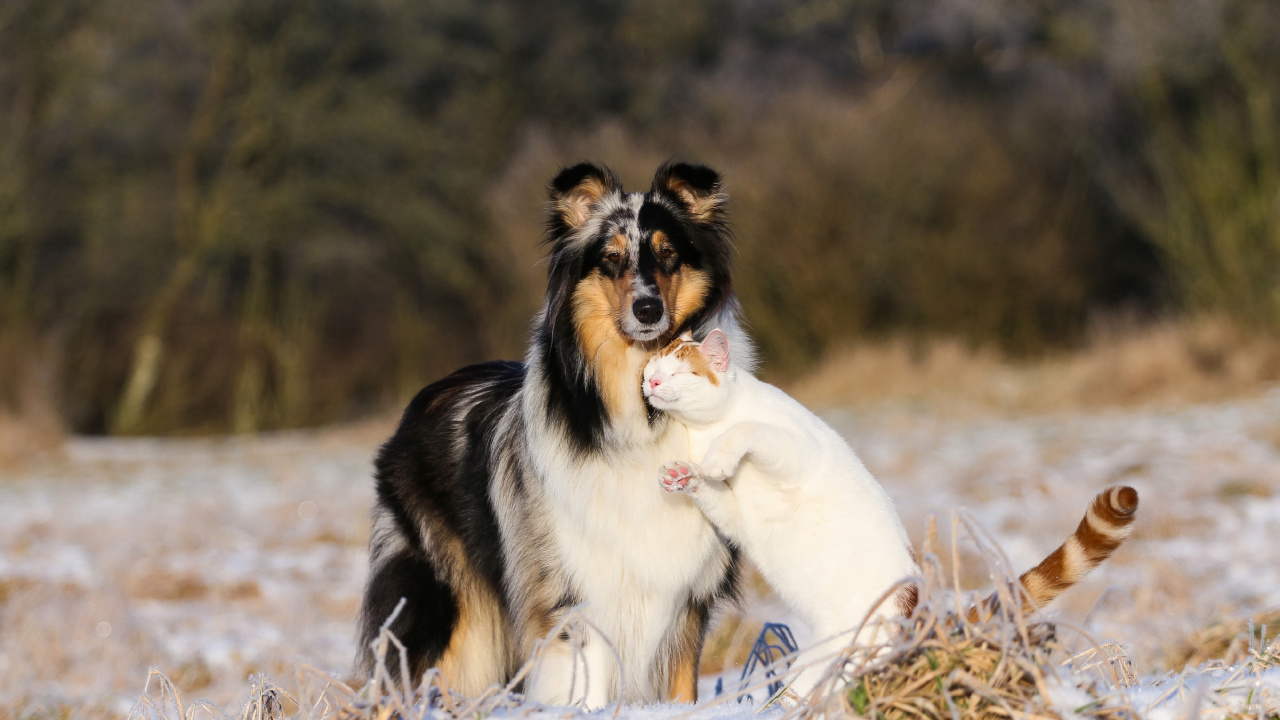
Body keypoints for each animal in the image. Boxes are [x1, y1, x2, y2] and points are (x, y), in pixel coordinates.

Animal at [353, 159, 747, 702]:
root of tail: (424, 395)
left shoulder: (685, 598)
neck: (638, 406)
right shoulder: (577, 596)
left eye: (668, 253)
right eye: (611, 258)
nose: (648, 310)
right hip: (448, 616)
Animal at [640, 327, 921, 686]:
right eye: (651, 368)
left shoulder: (796, 451)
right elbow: (710, 490)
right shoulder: (736, 517)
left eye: (677, 372)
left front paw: (718, 458)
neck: (707, 430)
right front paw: (681, 475)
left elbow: (747, 429)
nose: (653, 382)